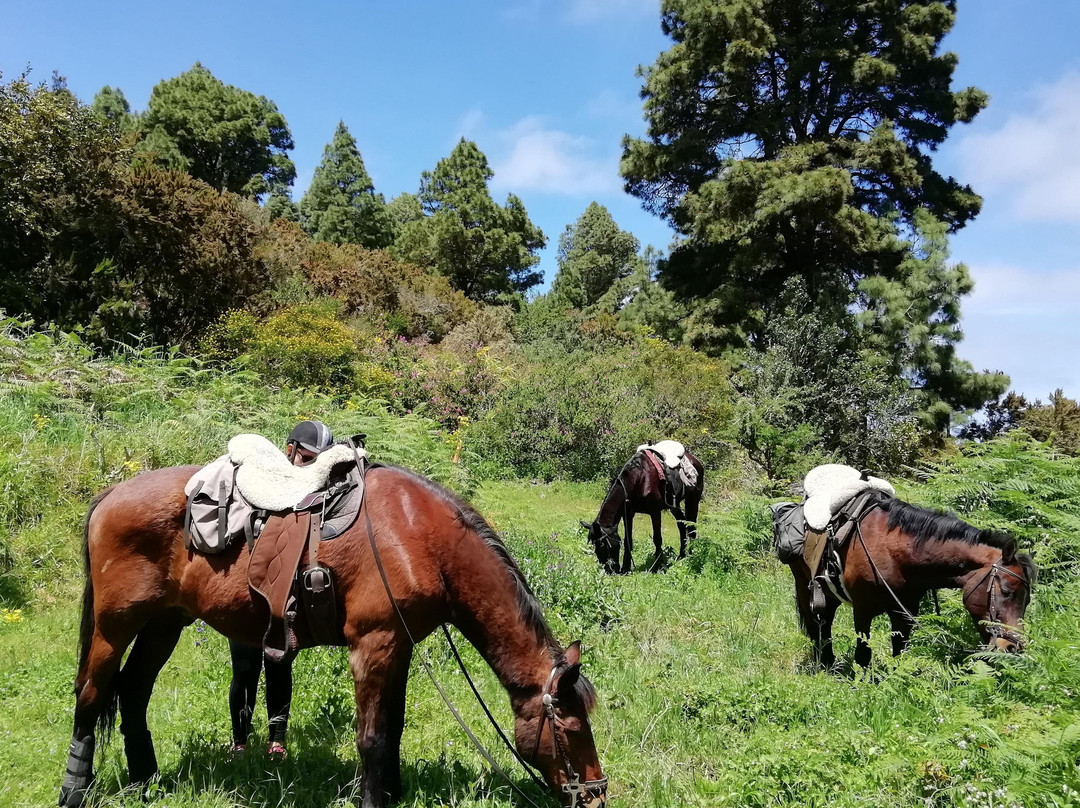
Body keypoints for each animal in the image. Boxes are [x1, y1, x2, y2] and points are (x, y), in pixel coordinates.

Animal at [56, 460, 609, 808]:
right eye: (572, 729)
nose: (597, 793)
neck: (421, 539)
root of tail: (109, 496)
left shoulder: (398, 647)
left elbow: (393, 728)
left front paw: (393, 792)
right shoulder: (373, 644)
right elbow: (372, 738)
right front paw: (374, 799)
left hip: (164, 623)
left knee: (133, 692)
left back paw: (145, 782)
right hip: (115, 625)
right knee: (91, 695)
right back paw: (74, 790)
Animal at [578, 442, 704, 574]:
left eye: (603, 545)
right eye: (594, 545)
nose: (609, 570)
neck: (640, 479)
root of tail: (695, 460)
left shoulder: (655, 512)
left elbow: (657, 539)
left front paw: (656, 566)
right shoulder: (628, 514)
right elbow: (628, 540)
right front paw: (626, 567)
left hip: (692, 500)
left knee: (692, 527)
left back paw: (691, 556)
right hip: (674, 506)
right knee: (682, 524)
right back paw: (681, 555)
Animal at [790, 494, 1032, 674]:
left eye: (1028, 600)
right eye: (1006, 591)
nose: (1013, 646)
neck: (894, 552)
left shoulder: (905, 612)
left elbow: (900, 651)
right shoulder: (862, 610)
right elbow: (863, 654)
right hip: (806, 586)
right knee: (817, 624)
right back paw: (824, 665)